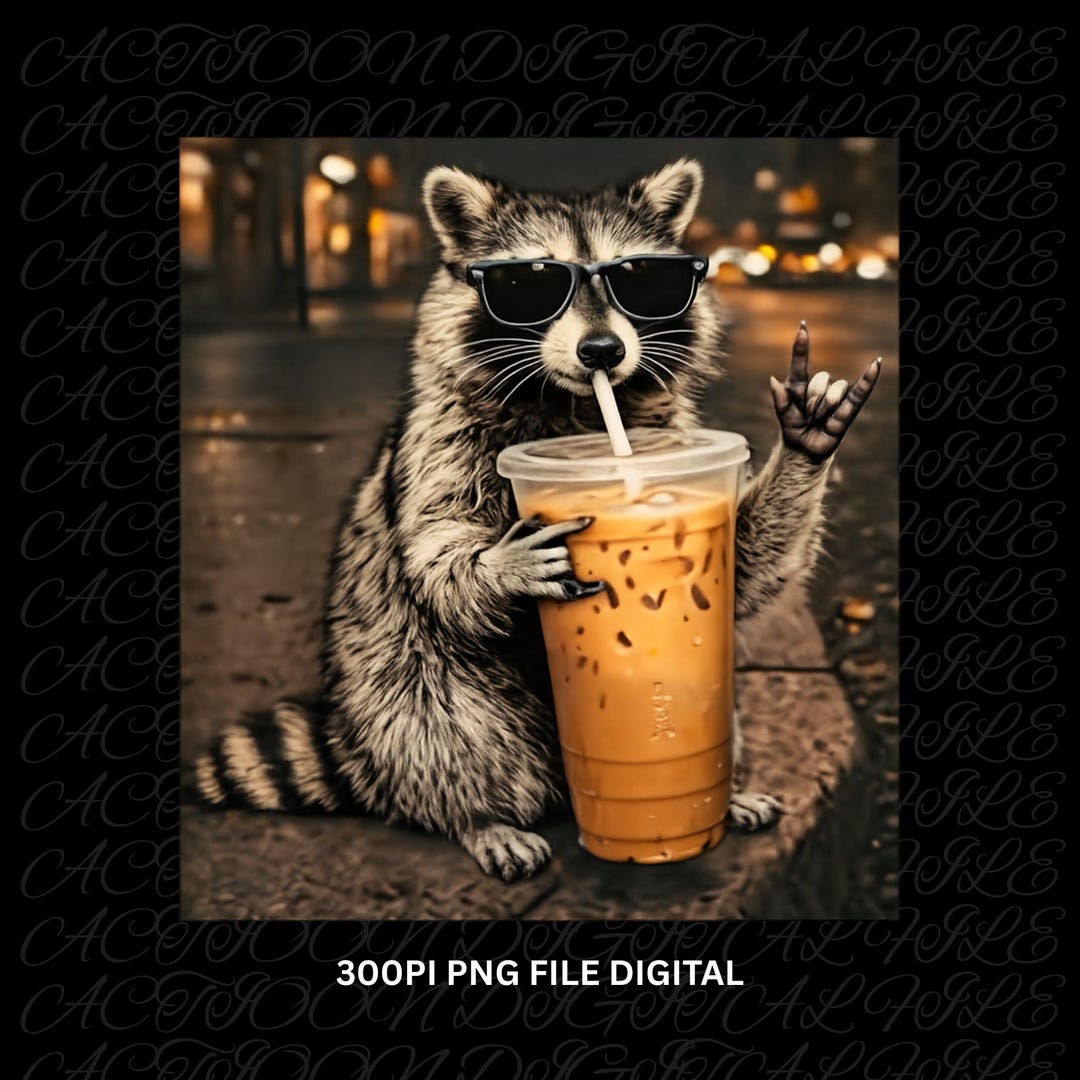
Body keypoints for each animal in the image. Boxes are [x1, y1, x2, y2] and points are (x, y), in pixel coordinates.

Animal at [192, 158, 880, 881]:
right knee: (451, 733)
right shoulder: (440, 446)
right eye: (529, 283)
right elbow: (437, 559)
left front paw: (803, 451)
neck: (573, 409)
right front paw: (498, 566)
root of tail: (360, 755)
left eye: (641, 280)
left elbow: (744, 566)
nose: (602, 351)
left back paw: (726, 792)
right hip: (410, 691)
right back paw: (475, 816)